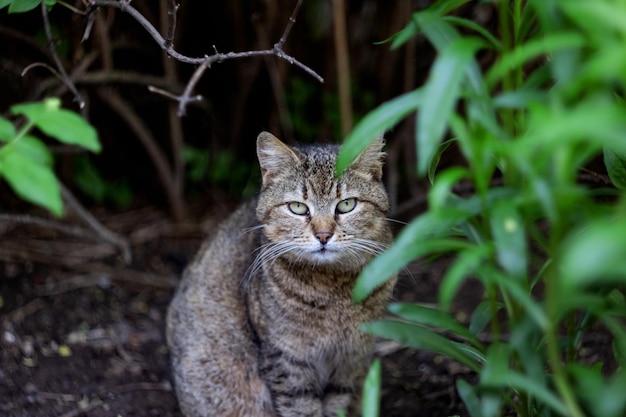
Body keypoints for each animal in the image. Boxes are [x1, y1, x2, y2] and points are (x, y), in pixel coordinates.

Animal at [166, 132, 394, 414]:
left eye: (346, 205)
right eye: (297, 207)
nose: (323, 235)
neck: (332, 289)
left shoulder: (352, 358)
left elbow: (339, 403)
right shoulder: (286, 359)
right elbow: (302, 408)